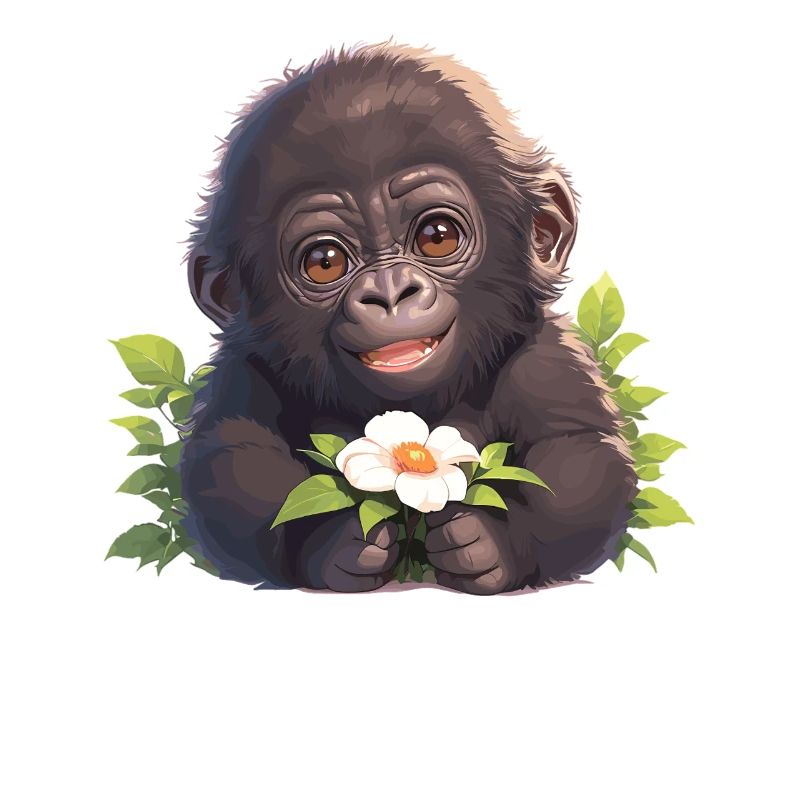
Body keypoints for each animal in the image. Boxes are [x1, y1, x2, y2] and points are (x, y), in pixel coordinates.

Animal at [180, 43, 638, 594]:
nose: (390, 293)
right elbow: (232, 458)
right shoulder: (242, 370)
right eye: (324, 262)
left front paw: (490, 541)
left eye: (437, 236)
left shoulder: (545, 355)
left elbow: (579, 455)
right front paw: (335, 541)